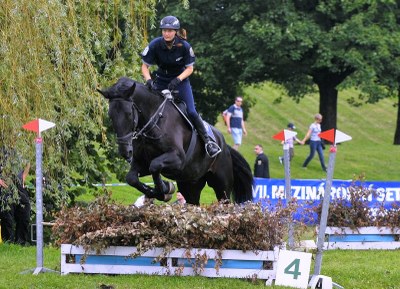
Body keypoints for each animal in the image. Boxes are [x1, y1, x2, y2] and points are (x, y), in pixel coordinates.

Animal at [98, 75, 252, 204]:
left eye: (129, 114)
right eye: (110, 115)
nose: (125, 151)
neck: (155, 122)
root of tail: (225, 146)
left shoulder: (177, 159)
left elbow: (155, 166)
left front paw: (165, 189)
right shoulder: (142, 163)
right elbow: (132, 178)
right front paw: (162, 189)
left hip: (222, 185)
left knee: (224, 200)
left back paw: (212, 148)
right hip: (190, 184)